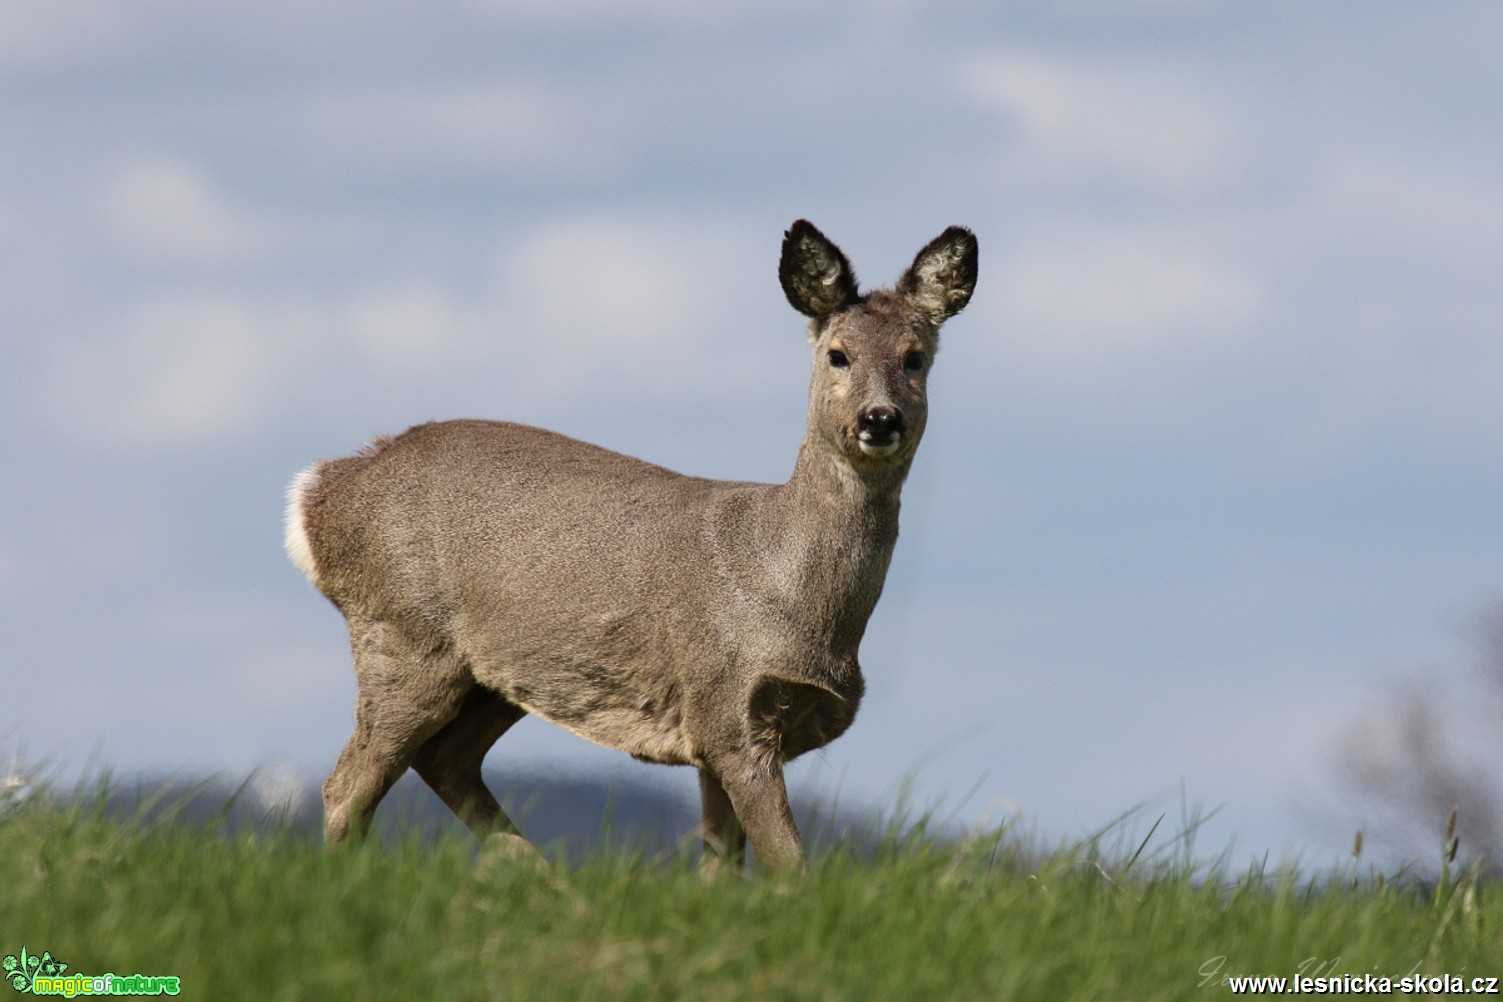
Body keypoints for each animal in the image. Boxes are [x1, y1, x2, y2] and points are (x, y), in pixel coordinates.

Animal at [285, 219, 979, 871]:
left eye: (915, 357)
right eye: (838, 354)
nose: (879, 419)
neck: (790, 589)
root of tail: (321, 495)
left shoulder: (717, 730)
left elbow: (721, 869)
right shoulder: (727, 706)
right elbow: (790, 865)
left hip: (503, 669)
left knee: (444, 758)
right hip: (404, 634)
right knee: (348, 783)